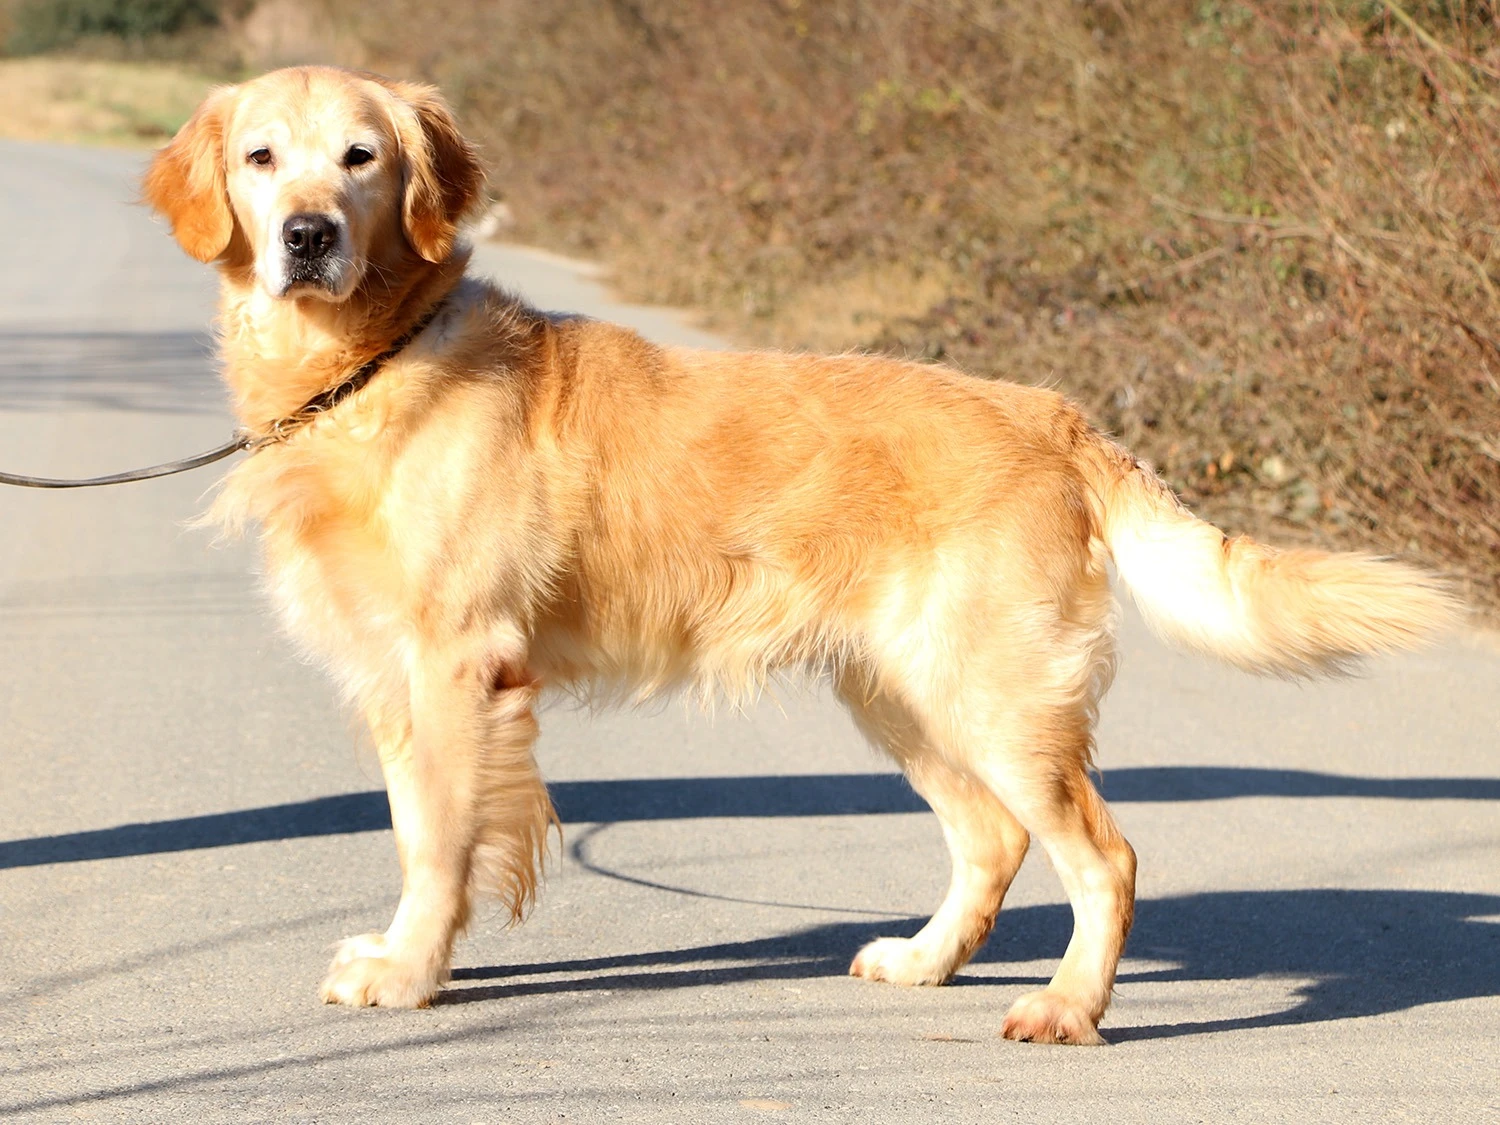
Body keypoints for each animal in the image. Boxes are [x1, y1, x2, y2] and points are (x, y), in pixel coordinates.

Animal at [141, 66, 1452, 1044]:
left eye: (361, 158)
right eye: (262, 159)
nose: (307, 236)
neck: (374, 360)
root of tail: (1052, 411)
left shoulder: (461, 667)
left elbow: (447, 844)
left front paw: (411, 974)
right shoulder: (398, 679)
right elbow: (421, 833)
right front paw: (416, 958)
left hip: (993, 697)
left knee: (1105, 858)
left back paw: (1068, 1007)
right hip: (901, 693)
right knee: (994, 840)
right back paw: (923, 961)